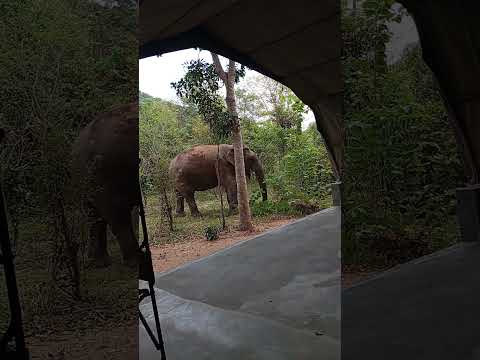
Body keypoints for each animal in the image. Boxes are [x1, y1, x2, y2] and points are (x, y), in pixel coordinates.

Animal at [71, 101, 141, 268]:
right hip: (107, 171)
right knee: (118, 214)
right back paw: (135, 261)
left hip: (91, 178)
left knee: (94, 216)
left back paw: (99, 262)